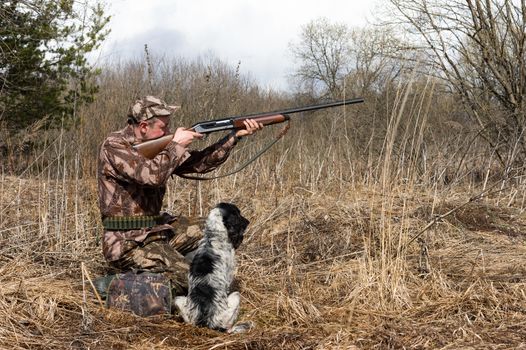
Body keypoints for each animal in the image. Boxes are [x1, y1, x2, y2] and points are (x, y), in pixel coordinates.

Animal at [175, 201, 252, 332]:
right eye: (238, 214)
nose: (248, 221)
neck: (212, 237)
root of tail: (207, 320)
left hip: (179, 301)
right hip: (235, 298)